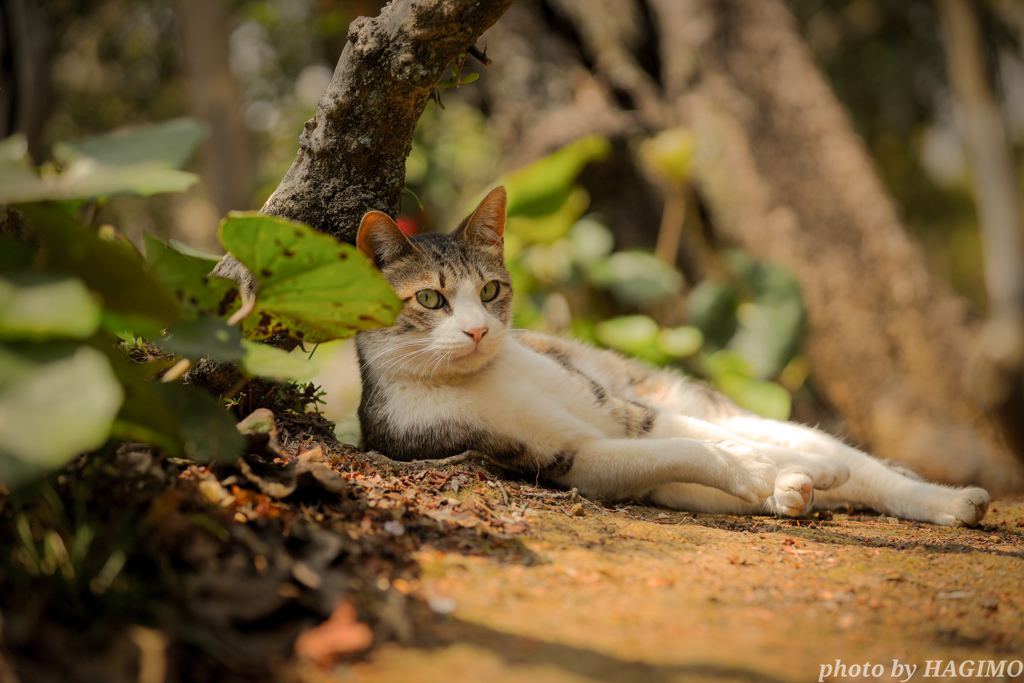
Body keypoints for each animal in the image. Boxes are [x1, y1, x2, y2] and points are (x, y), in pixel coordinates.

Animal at [354, 187, 991, 528]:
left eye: (489, 291)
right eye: (430, 299)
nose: (479, 331)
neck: (489, 374)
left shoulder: (619, 409)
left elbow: (700, 435)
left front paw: (797, 466)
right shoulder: (568, 459)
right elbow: (686, 451)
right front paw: (769, 474)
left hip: (699, 398)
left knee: (851, 460)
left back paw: (947, 500)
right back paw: (795, 488)